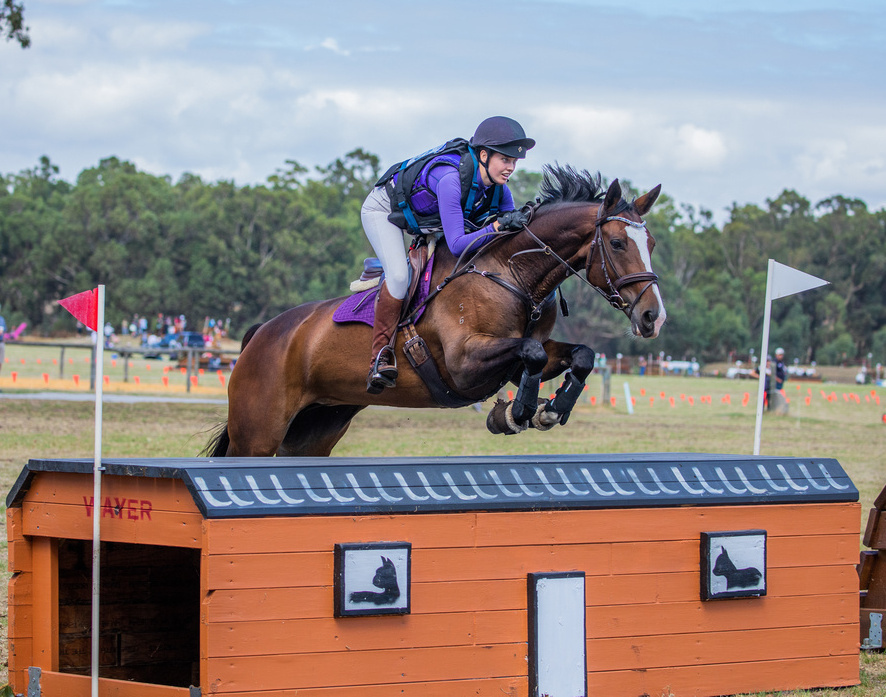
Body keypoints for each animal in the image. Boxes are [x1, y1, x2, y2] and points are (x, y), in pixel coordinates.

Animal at [203, 165, 666, 457]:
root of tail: (262, 333)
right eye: (618, 243)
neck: (513, 273)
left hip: (314, 430)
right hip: (257, 434)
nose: (653, 318)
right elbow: (530, 354)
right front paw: (515, 413)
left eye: (653, 243)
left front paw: (551, 408)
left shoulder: (523, 352)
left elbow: (578, 355)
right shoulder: (464, 363)